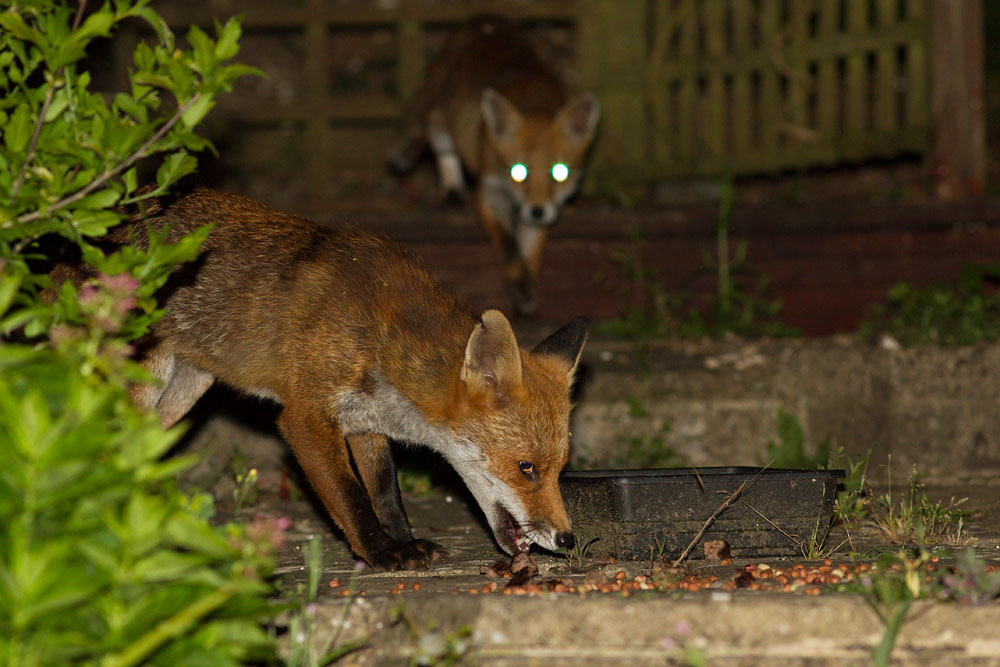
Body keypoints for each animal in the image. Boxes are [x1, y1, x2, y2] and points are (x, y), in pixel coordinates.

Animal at [73, 187, 589, 571]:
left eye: (561, 469)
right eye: (526, 468)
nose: (566, 538)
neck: (384, 334)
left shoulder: (365, 423)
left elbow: (385, 492)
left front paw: (405, 541)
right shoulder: (306, 418)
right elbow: (350, 497)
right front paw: (380, 553)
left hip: (184, 391)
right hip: (142, 383)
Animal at [389, 14, 600, 316]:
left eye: (560, 172)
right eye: (518, 172)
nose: (537, 211)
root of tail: (483, 20)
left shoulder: (543, 209)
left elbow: (529, 252)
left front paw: (525, 287)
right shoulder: (489, 190)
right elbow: (509, 248)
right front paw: (518, 285)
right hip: (444, 118)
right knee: (441, 143)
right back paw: (451, 190)